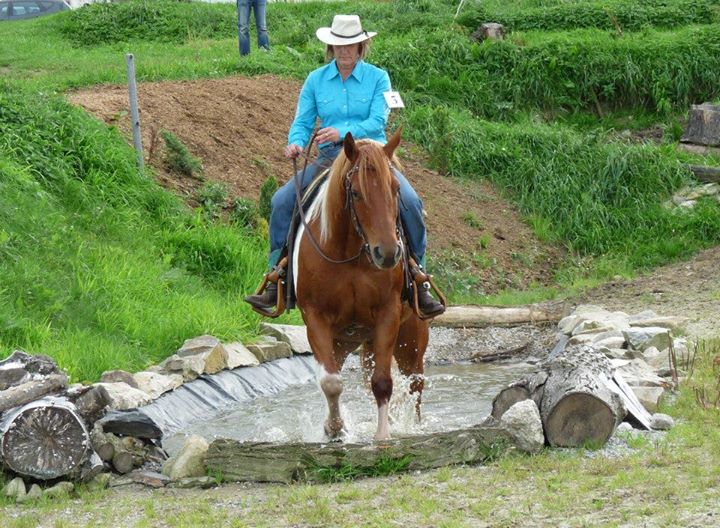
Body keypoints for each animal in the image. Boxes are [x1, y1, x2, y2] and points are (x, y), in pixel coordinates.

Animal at [292, 129, 428, 442]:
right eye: (355, 192)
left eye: (395, 189)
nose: (388, 253)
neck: (350, 253)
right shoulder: (316, 318)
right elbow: (330, 382)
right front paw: (334, 429)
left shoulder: (388, 314)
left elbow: (383, 382)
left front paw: (382, 437)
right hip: (347, 341)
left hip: (411, 340)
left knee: (414, 385)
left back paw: (413, 427)